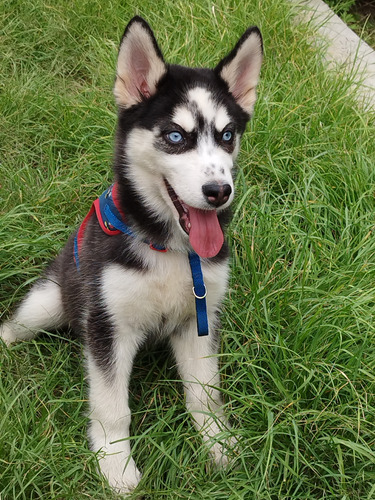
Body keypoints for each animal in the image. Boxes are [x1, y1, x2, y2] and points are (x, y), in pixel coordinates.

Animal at [0, 17, 264, 494]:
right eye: (176, 137)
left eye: (227, 136)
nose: (219, 191)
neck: (170, 249)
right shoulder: (108, 325)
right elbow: (112, 407)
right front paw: (116, 465)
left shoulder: (200, 319)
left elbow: (205, 393)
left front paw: (218, 443)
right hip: (47, 304)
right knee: (13, 327)